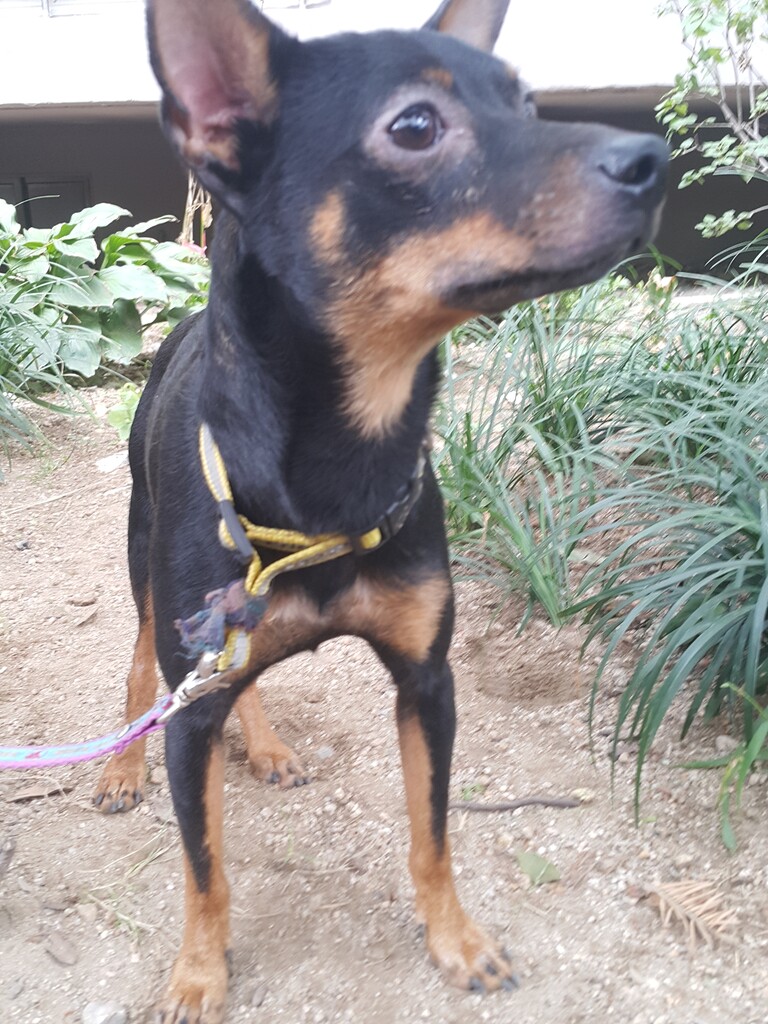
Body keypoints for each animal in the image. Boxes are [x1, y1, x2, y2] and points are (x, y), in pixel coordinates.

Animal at [93, 0, 667, 1019]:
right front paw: (199, 973)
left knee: (248, 680)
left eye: (527, 100)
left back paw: (266, 745)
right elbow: (205, 868)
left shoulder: (427, 681)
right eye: (415, 126)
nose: (655, 157)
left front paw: (456, 941)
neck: (337, 470)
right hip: (149, 567)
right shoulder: (193, 696)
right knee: (140, 673)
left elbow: (433, 832)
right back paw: (125, 768)